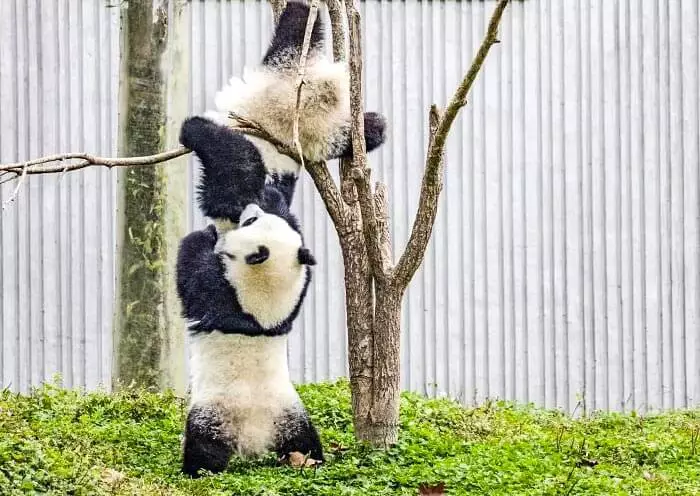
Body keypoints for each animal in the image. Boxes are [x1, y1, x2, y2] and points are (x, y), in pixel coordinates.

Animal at [176, 116, 323, 478]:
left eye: (252, 220)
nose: (251, 208)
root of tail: (254, 441)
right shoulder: (295, 293)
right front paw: (269, 192)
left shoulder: (224, 296)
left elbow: (193, 271)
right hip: (292, 414)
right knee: (305, 441)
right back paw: (313, 461)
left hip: (214, 414)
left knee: (205, 449)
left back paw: (196, 470)